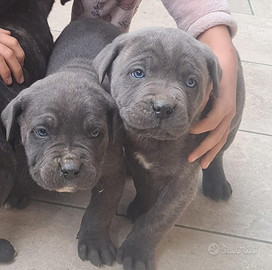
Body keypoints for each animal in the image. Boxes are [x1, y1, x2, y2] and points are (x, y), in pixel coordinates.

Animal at [2, 19, 126, 268]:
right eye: (41, 132)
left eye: (96, 134)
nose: (70, 169)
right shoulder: (20, 149)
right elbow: (21, 173)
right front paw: (19, 192)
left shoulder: (114, 171)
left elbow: (102, 208)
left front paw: (95, 242)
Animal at [92, 28, 245, 270]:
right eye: (138, 73)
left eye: (191, 82)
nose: (163, 108)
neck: (155, 142)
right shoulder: (137, 161)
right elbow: (144, 188)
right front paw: (141, 207)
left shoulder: (182, 185)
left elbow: (158, 219)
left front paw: (136, 251)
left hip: (232, 119)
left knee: (217, 152)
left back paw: (217, 184)